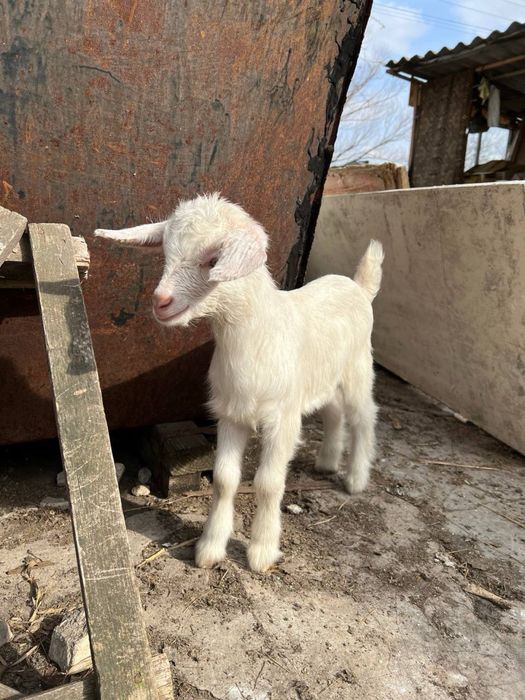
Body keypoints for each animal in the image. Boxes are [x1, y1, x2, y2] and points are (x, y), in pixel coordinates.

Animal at [95, 193, 383, 573]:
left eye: (213, 260)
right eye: (165, 253)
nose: (160, 301)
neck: (256, 334)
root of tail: (358, 286)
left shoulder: (282, 418)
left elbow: (268, 483)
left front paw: (262, 550)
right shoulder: (231, 414)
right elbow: (224, 480)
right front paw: (210, 547)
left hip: (358, 367)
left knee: (364, 417)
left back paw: (356, 479)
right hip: (324, 375)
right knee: (334, 412)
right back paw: (327, 462)